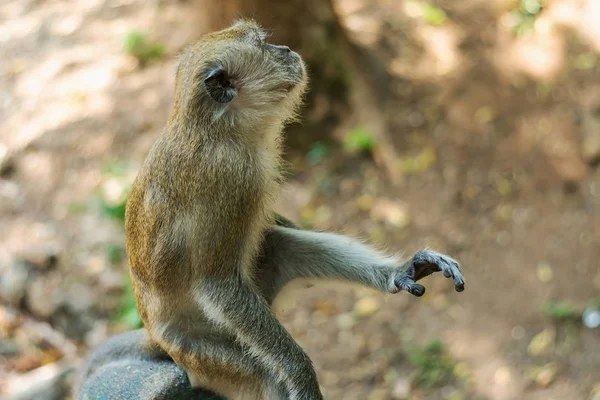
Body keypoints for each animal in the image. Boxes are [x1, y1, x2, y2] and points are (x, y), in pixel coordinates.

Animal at [116, 19, 464, 400]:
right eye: (264, 45)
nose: (286, 49)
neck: (216, 129)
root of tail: (155, 335)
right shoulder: (229, 178)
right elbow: (217, 284)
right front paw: (300, 370)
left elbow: (270, 228)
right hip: (200, 351)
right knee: (259, 371)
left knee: (282, 245)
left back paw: (397, 273)